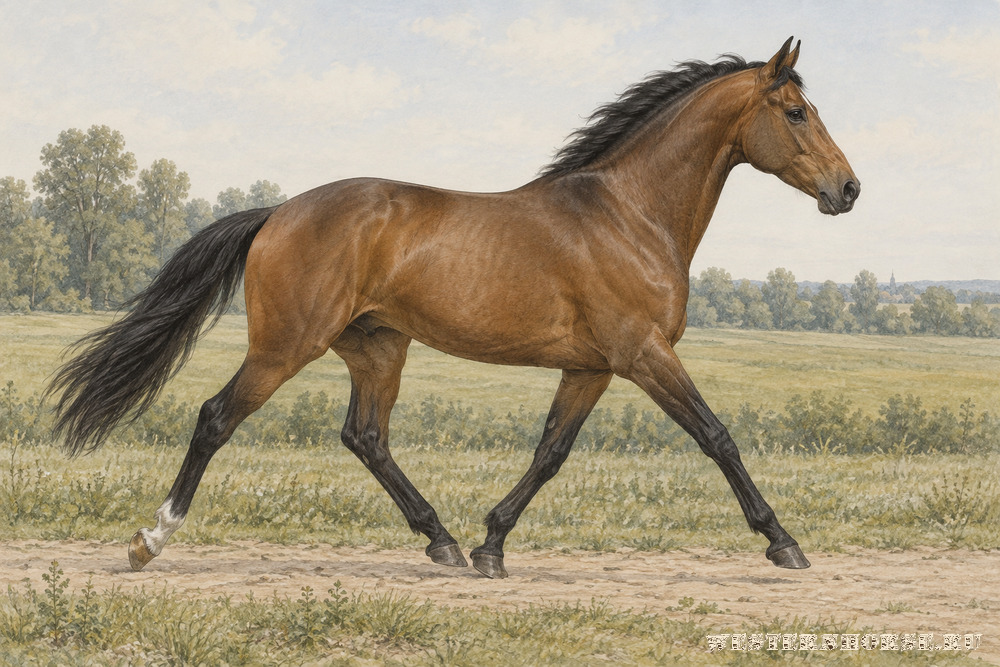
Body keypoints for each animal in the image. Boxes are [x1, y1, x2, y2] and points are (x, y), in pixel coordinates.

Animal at [48, 38, 859, 579]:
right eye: (795, 112)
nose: (848, 189)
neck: (627, 214)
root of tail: (278, 212)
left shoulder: (592, 367)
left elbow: (550, 453)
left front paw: (490, 544)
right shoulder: (644, 354)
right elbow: (718, 437)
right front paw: (784, 542)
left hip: (377, 347)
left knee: (365, 437)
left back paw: (438, 539)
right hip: (285, 347)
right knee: (217, 417)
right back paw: (149, 540)